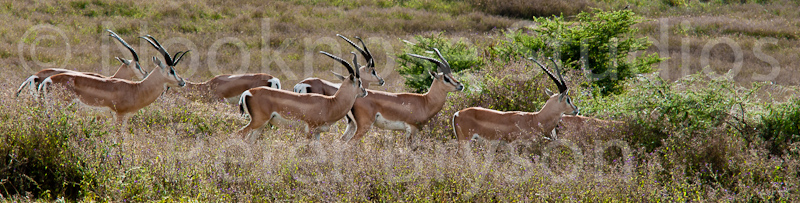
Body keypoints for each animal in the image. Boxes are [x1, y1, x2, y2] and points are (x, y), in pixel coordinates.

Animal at [238, 51, 368, 141]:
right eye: (359, 82)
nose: (365, 92)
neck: (330, 103)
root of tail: (248, 92)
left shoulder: (317, 133)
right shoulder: (310, 130)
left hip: (260, 125)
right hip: (258, 121)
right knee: (240, 133)